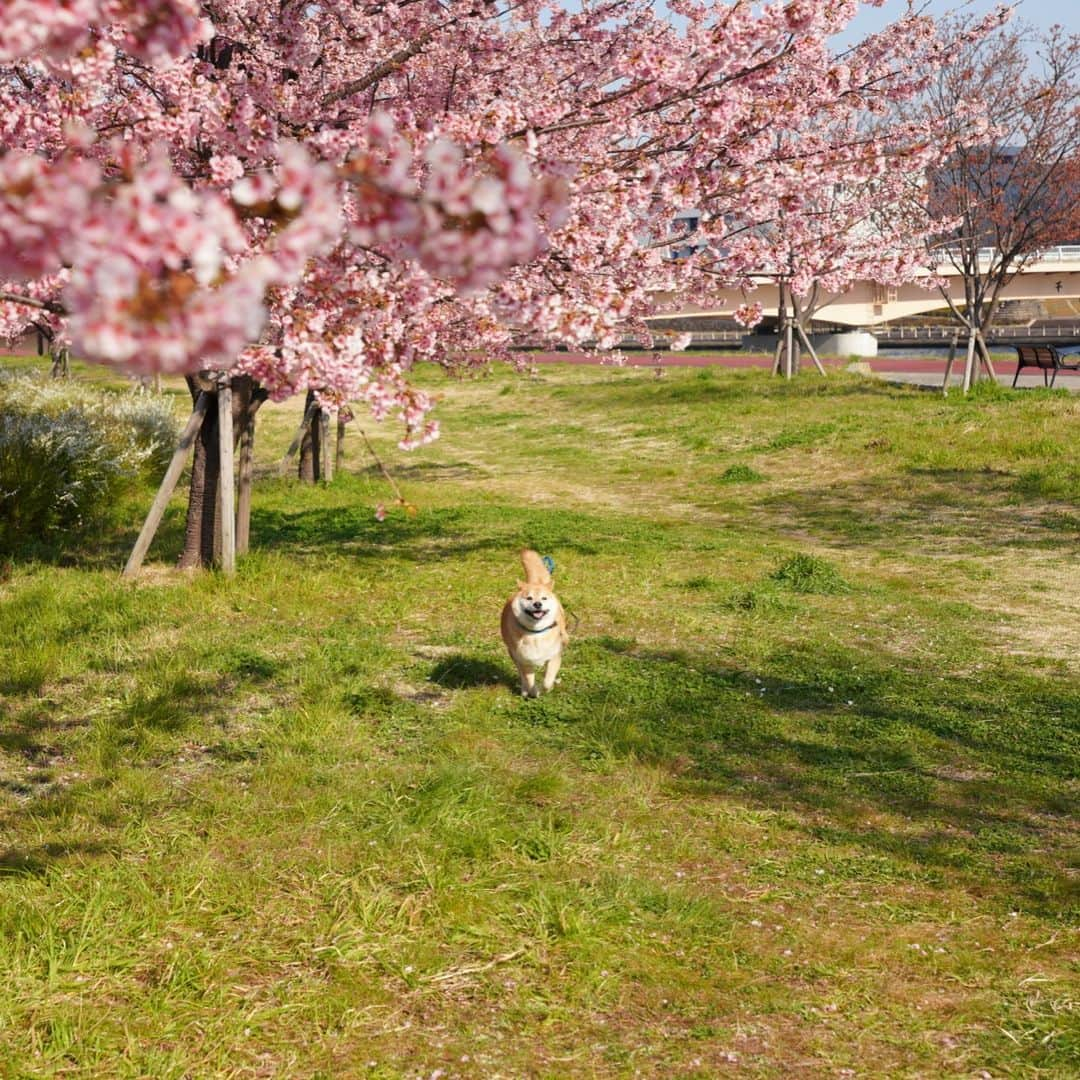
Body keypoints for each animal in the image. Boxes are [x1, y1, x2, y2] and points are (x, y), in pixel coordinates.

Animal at [501, 548, 570, 699]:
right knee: (521, 675)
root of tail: (534, 581)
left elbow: (547, 680)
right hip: (513, 654)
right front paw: (533, 691)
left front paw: (546, 689)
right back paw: (524, 690)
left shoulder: (554, 655)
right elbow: (529, 679)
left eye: (544, 598)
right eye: (529, 598)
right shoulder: (524, 660)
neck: (536, 632)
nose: (537, 604)